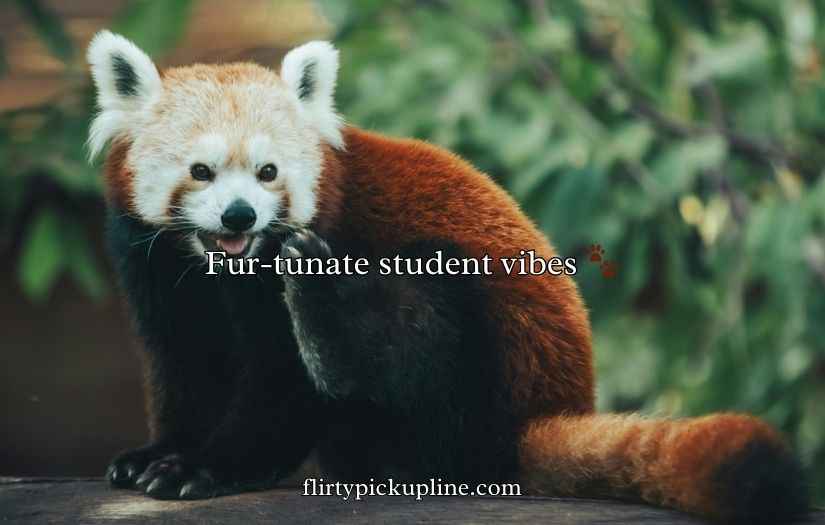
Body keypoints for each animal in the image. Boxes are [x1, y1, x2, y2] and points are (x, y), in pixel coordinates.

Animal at [87, 30, 808, 523]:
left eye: (268, 173)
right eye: (201, 171)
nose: (241, 214)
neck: (221, 269)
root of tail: (545, 409)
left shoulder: (301, 253)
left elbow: (279, 387)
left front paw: (206, 466)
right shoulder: (155, 269)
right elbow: (183, 365)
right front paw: (159, 451)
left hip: (482, 342)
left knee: (418, 334)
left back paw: (330, 326)